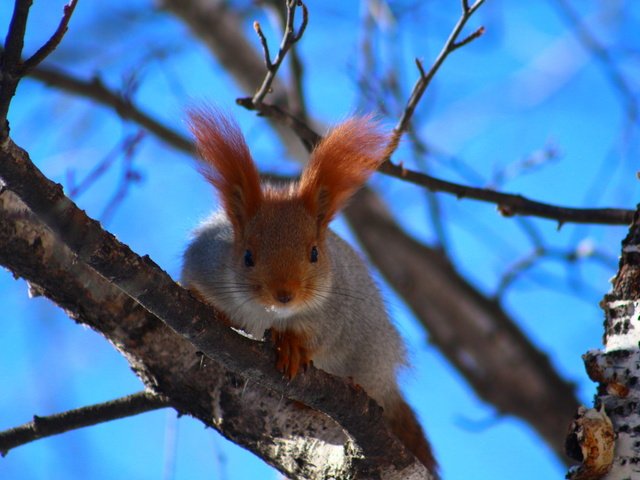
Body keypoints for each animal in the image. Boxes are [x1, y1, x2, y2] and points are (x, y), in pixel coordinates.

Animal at [182, 109, 438, 476]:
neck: (266, 314)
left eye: (314, 253)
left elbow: (317, 338)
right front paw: (211, 309)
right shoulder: (203, 262)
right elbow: (191, 286)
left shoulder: (333, 316)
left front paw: (291, 345)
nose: (284, 294)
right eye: (247, 256)